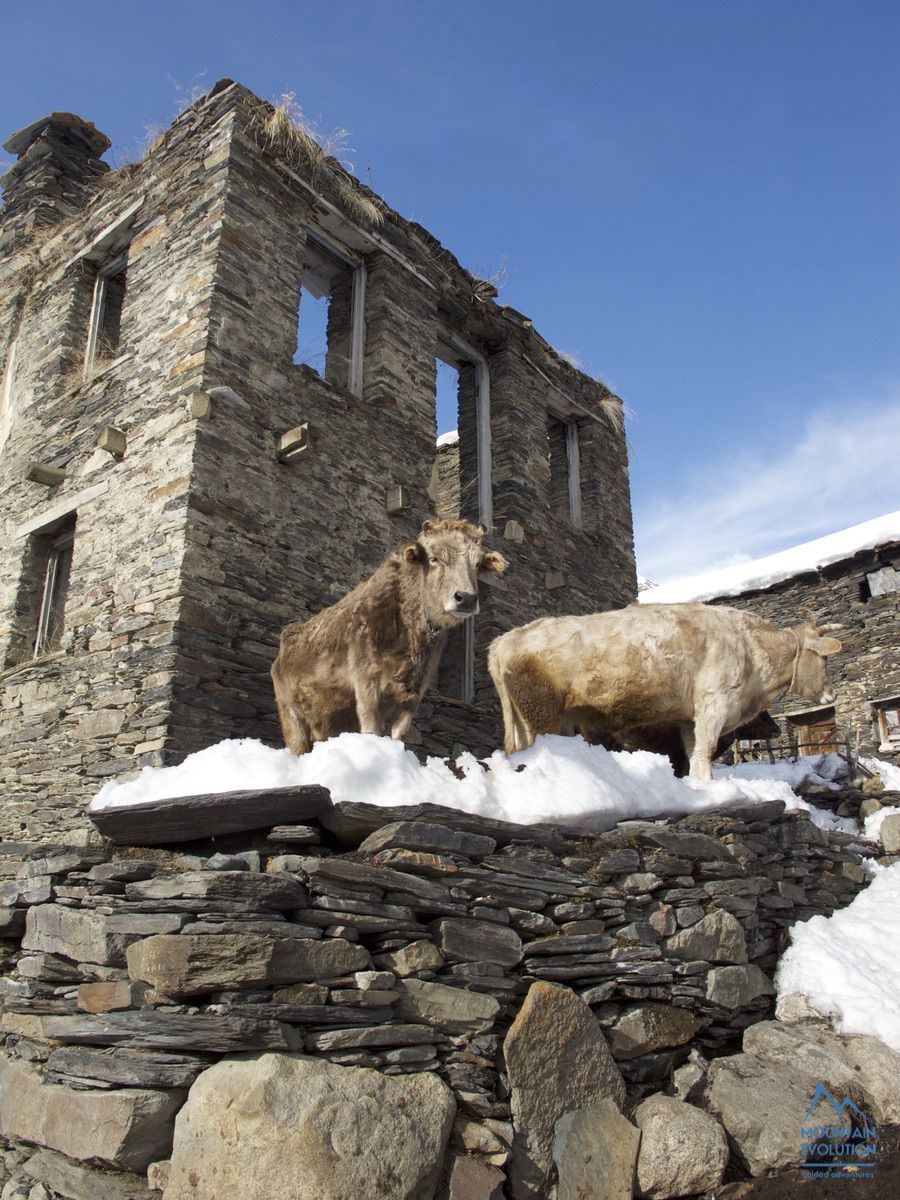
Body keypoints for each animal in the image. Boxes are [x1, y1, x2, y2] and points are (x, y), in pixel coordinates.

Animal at [271, 516, 508, 748]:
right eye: (434, 558)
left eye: (477, 564)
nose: (466, 598)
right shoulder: (366, 681)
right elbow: (372, 730)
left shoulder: (416, 691)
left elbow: (399, 735)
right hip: (291, 716)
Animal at [489, 604, 844, 782]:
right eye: (824, 658)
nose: (831, 695)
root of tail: (506, 640)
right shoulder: (713, 705)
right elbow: (703, 753)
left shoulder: (688, 720)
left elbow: (692, 753)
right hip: (541, 713)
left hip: (526, 719)